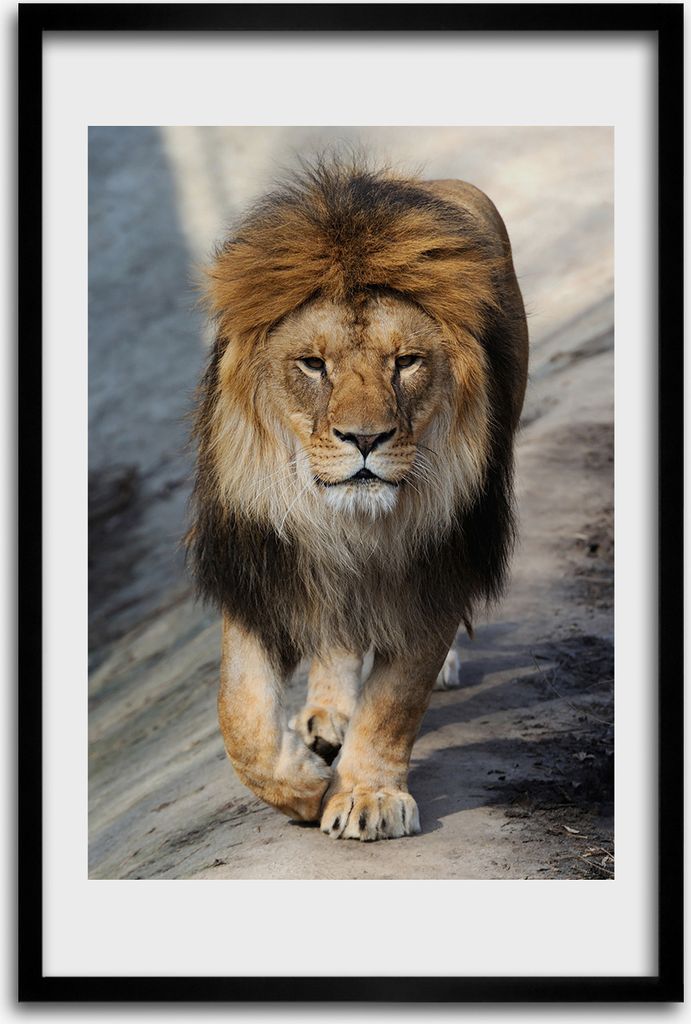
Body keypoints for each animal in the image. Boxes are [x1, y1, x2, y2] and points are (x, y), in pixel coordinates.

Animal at [187, 159, 528, 841]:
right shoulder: (262, 563)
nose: (366, 438)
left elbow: (396, 700)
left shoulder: (439, 568)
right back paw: (325, 718)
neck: (355, 525)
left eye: (408, 362)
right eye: (313, 364)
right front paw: (301, 785)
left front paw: (369, 795)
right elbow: (240, 714)